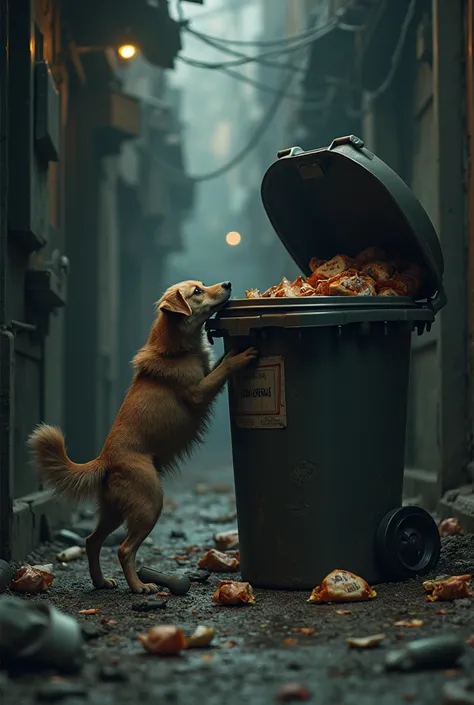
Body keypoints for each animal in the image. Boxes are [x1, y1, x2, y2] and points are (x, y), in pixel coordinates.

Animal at [27, 280, 258, 592]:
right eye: (197, 291)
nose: (228, 284)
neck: (176, 348)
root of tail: (105, 459)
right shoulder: (199, 391)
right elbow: (222, 368)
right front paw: (239, 357)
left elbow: (217, 363)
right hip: (150, 504)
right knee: (124, 549)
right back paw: (139, 587)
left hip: (115, 511)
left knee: (92, 541)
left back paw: (100, 581)